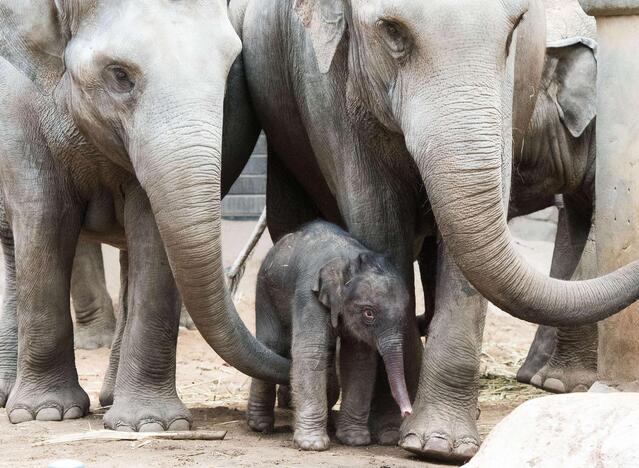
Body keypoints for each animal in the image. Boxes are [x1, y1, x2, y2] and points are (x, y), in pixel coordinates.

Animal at [0, 0, 282, 432]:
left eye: (230, 70)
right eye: (120, 75)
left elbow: (152, 230)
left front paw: (150, 425)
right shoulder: (18, 111)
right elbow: (44, 214)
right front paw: (45, 413)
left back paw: (110, 399)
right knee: (14, 247)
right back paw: (9, 396)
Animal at [248, 221, 412, 452]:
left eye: (405, 314)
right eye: (368, 313)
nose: (407, 412)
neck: (348, 258)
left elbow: (359, 359)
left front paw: (354, 440)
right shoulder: (309, 294)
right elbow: (310, 352)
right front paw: (312, 444)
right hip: (265, 289)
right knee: (271, 344)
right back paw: (260, 426)